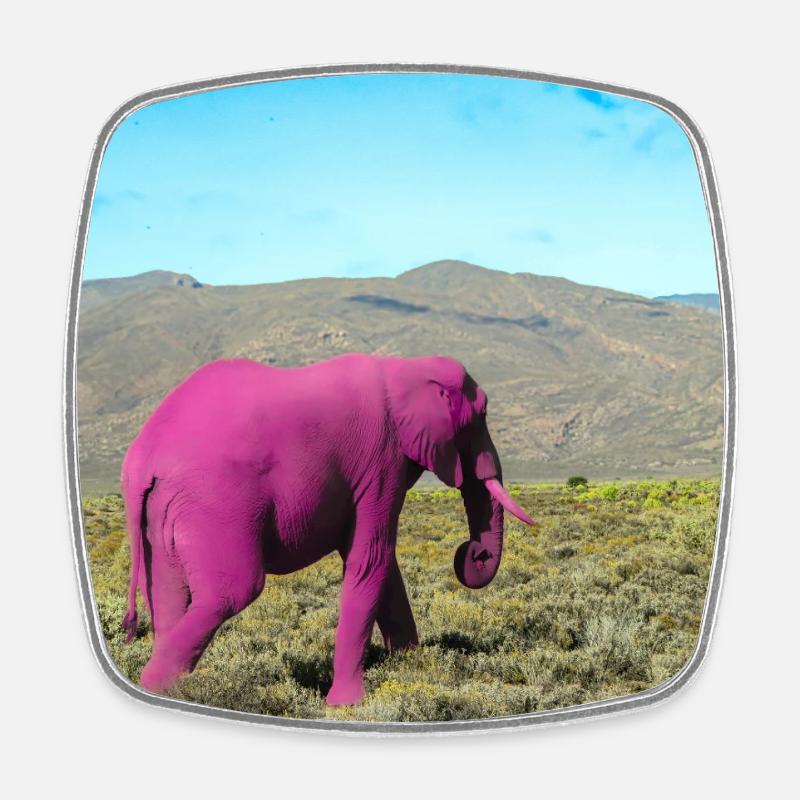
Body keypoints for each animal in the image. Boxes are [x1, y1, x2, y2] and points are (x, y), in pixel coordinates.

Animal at [119, 353, 534, 705]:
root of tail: (143, 457)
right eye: (482, 414)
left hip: (164, 514)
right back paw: (161, 688)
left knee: (169, 597)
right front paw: (347, 705)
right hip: (216, 503)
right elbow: (371, 560)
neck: (404, 367)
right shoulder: (381, 462)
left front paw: (411, 669)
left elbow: (383, 566)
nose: (474, 552)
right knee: (234, 591)